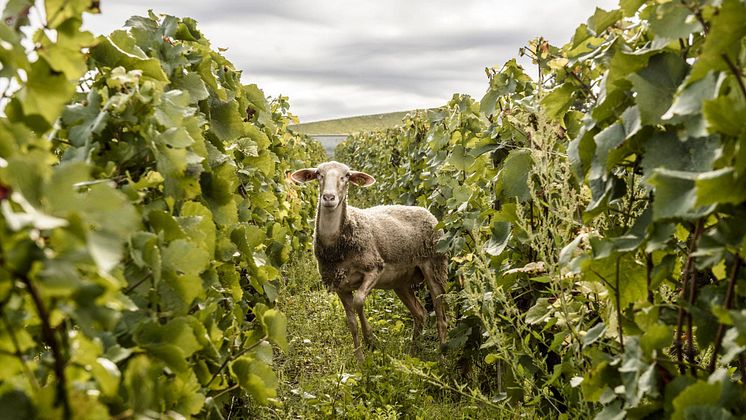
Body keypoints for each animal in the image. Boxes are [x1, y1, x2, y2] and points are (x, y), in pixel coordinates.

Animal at [288, 161, 444, 360]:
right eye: (318, 174)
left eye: (346, 176)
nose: (329, 197)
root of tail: (426, 210)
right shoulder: (340, 285)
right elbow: (351, 323)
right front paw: (360, 359)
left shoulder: (374, 268)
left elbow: (359, 301)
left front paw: (370, 338)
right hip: (401, 281)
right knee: (420, 313)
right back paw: (413, 352)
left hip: (435, 264)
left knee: (440, 313)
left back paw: (443, 353)